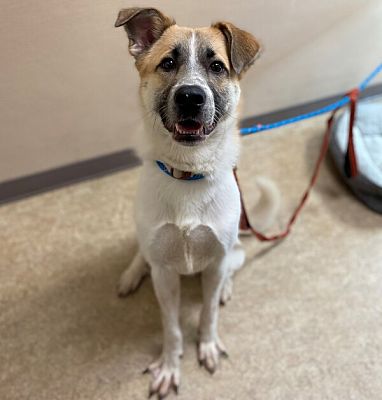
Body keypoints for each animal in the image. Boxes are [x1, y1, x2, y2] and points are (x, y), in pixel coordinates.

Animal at [115, 7, 280, 398]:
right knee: (140, 253)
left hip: (234, 252)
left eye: (217, 66)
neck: (188, 173)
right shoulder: (164, 273)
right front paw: (169, 365)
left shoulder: (216, 261)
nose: (191, 96)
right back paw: (131, 274)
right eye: (168, 63)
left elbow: (207, 313)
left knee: (230, 269)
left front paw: (206, 345)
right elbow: (171, 326)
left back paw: (225, 291)